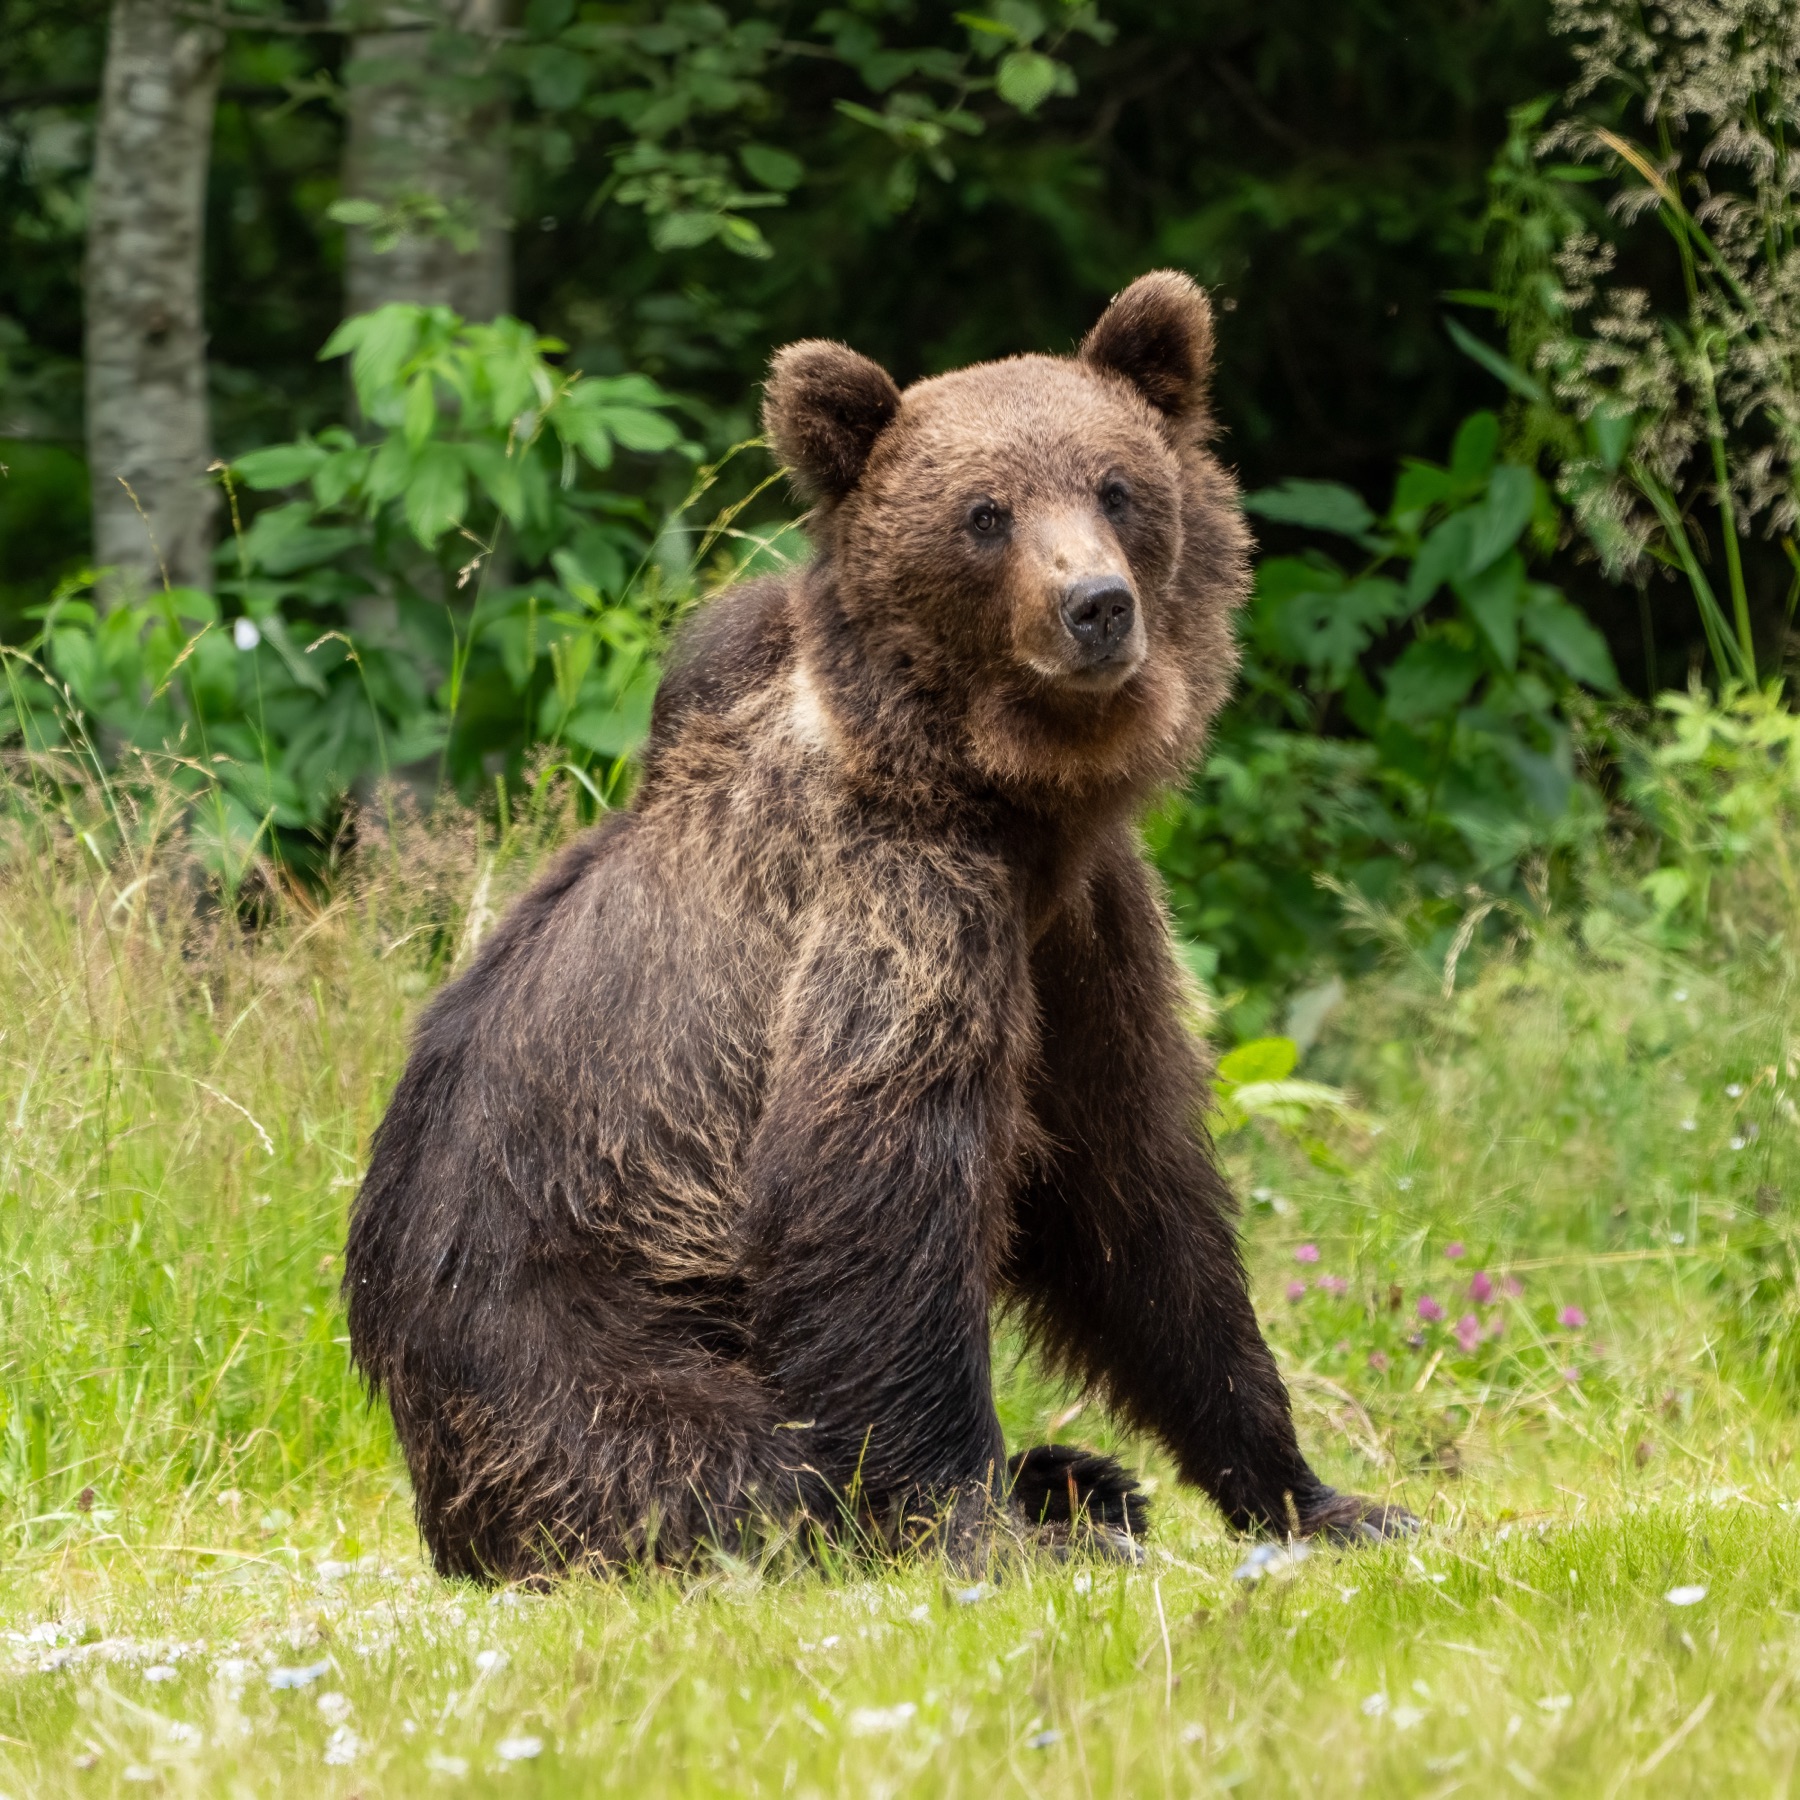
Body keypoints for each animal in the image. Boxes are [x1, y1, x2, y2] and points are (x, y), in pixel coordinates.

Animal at [344, 270, 1415, 1582]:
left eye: (1116, 486)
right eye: (985, 513)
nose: (1096, 607)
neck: (1000, 793)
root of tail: (435, 1493)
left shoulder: (1081, 927)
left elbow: (1137, 1201)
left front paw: (1320, 1495)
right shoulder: (905, 898)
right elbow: (875, 1192)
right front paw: (973, 1520)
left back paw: (1083, 1478)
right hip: (581, 1363)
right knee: (728, 1469)